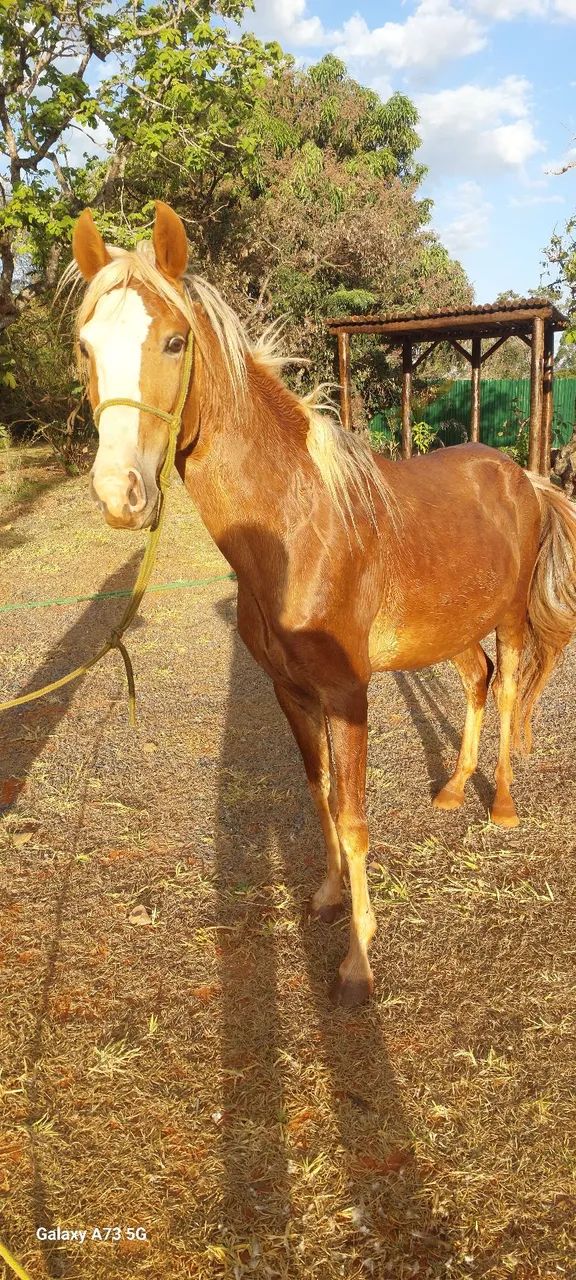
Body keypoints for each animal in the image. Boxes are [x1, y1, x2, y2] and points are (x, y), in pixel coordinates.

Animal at [68, 200, 576, 1006]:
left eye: (175, 341)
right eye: (87, 347)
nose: (121, 494)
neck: (299, 526)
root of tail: (522, 476)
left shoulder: (347, 693)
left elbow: (354, 814)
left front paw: (357, 963)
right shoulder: (291, 691)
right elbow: (318, 796)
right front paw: (331, 898)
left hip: (510, 621)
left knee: (506, 696)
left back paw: (499, 807)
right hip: (451, 628)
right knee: (478, 681)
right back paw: (451, 791)